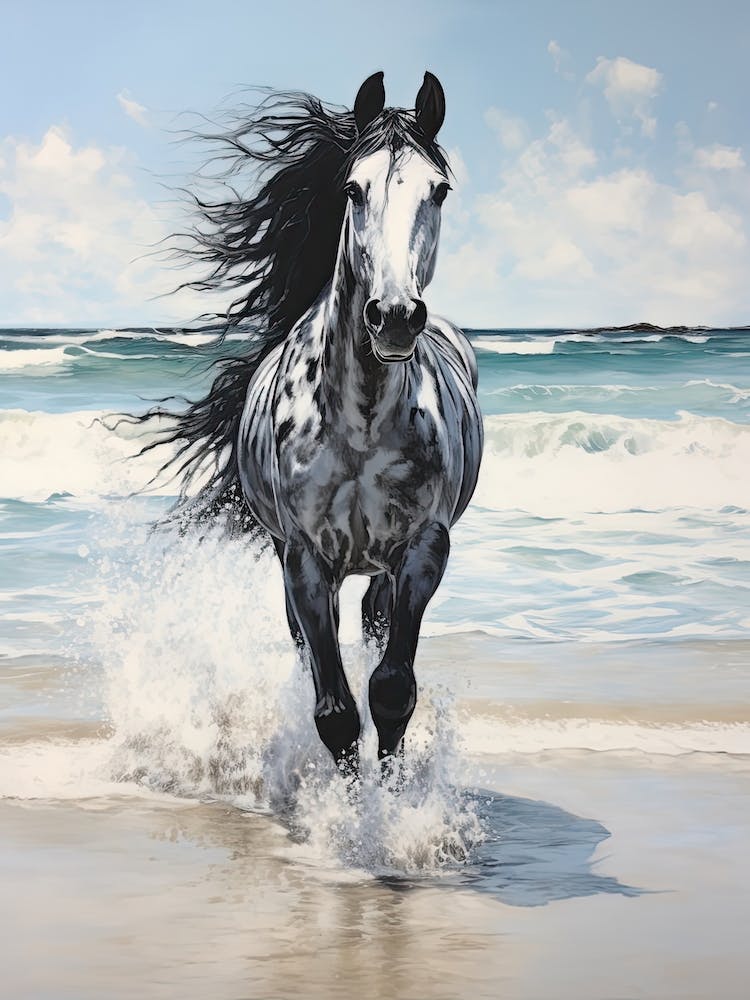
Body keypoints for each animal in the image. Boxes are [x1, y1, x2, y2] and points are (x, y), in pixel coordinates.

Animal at [141, 71, 483, 778]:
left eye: (438, 190)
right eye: (354, 187)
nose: (395, 316)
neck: (360, 426)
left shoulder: (424, 548)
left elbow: (391, 689)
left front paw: (388, 796)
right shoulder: (303, 556)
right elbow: (334, 710)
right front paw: (344, 801)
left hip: (382, 565)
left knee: (375, 623)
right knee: (310, 647)